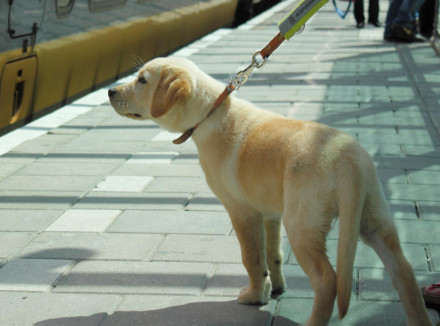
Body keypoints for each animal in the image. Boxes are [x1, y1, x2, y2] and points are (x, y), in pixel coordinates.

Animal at [108, 57, 432, 324]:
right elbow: (273, 254)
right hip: (372, 218)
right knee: (403, 271)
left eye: (142, 80)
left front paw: (254, 296)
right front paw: (274, 288)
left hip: (302, 224)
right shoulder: (270, 213)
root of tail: (346, 158)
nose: (110, 91)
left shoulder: (242, 211)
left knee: (327, 280)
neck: (211, 112)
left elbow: (252, 258)